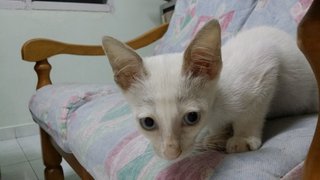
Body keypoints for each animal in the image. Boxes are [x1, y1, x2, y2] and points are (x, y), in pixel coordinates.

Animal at [102, 19, 318, 160]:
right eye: (148, 122)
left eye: (192, 117)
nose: (172, 153)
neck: (216, 107)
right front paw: (218, 135)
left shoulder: (266, 65)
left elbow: (251, 113)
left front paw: (242, 137)